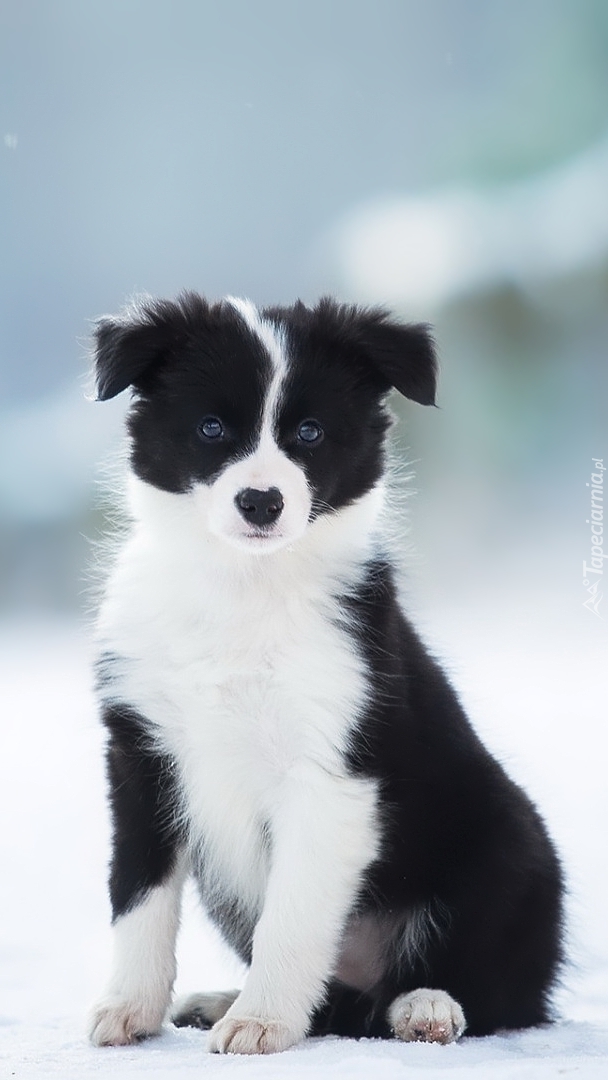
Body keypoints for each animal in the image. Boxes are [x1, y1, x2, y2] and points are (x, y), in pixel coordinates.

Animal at [88, 293, 565, 1054]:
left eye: (309, 433)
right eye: (211, 428)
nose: (261, 502)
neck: (244, 589)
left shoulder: (330, 775)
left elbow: (292, 917)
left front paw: (261, 1022)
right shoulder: (140, 753)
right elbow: (138, 894)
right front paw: (128, 1008)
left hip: (512, 846)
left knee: (498, 993)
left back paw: (426, 1007)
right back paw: (224, 999)